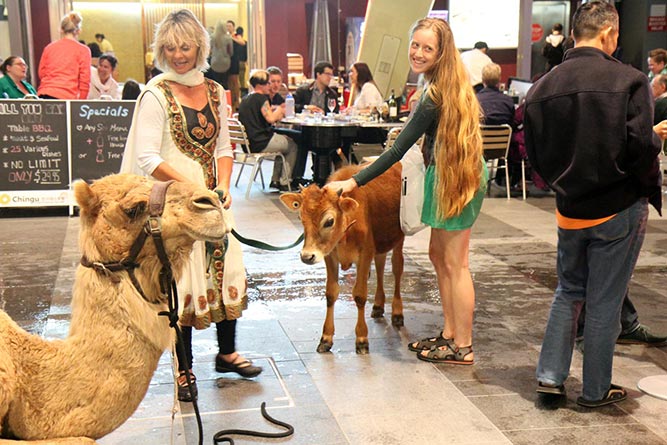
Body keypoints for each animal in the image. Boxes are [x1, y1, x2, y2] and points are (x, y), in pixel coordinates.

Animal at [280, 163, 404, 354]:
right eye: (300, 218)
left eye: (329, 221)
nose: (307, 256)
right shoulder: (330, 256)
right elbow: (331, 293)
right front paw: (326, 338)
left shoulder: (365, 255)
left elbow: (359, 295)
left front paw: (362, 339)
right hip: (380, 242)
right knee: (381, 265)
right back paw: (378, 305)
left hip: (399, 237)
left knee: (397, 268)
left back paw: (397, 312)